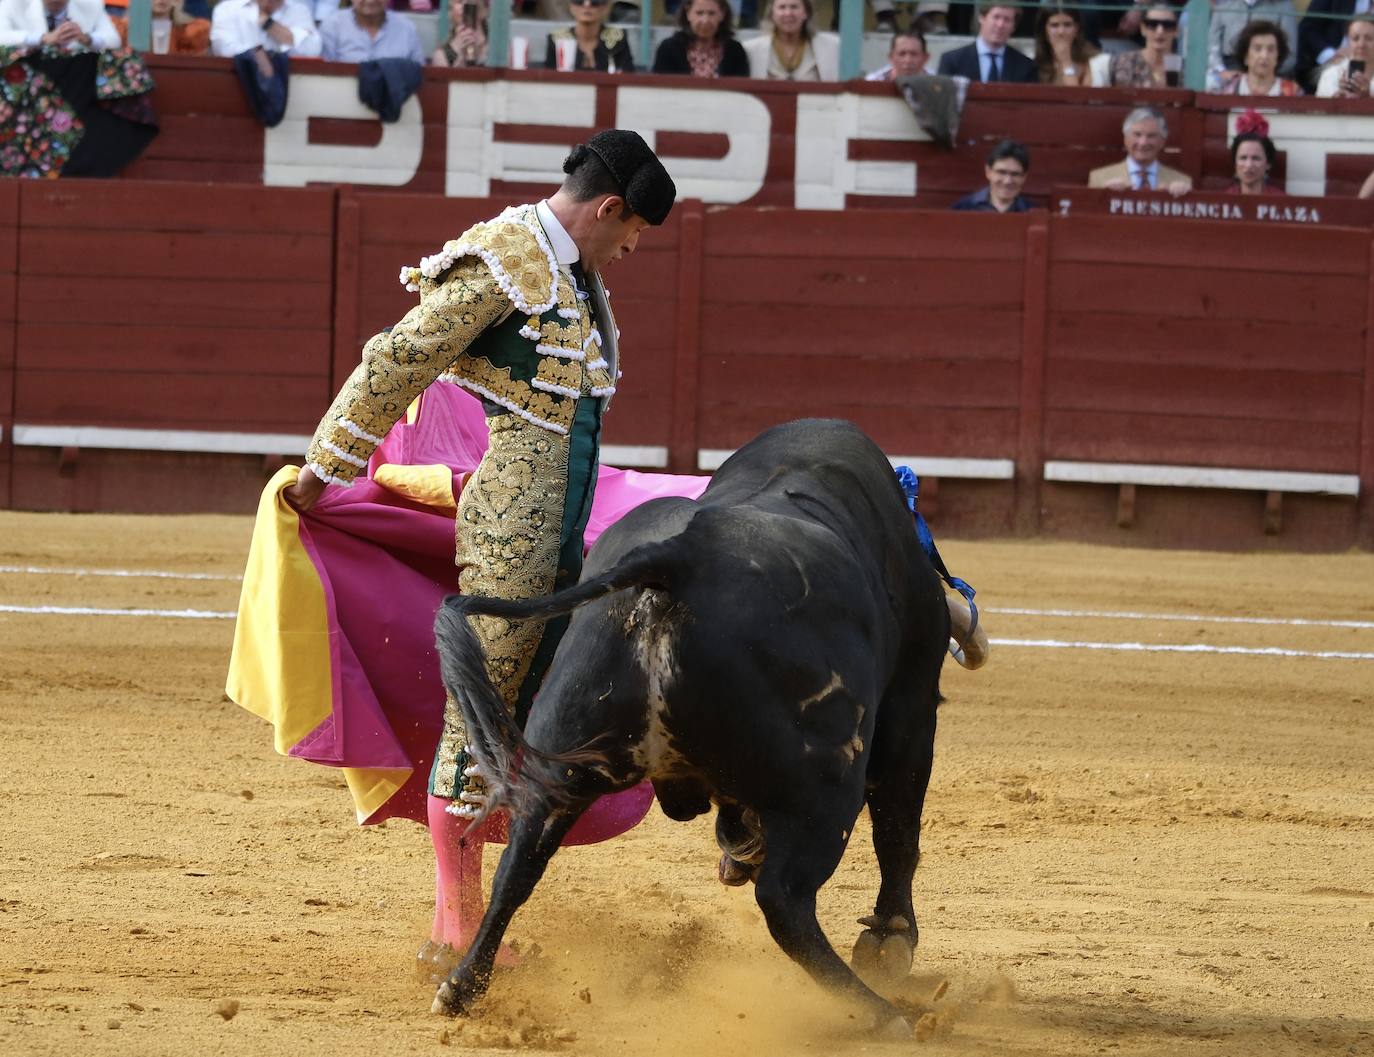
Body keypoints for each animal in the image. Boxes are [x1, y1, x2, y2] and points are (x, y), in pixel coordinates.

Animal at [434, 417, 950, 1033]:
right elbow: (899, 827)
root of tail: (675, 559)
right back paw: (882, 1012)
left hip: (564, 756)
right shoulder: (912, 705)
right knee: (787, 900)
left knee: (518, 863)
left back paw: (461, 985)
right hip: (828, 786)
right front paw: (891, 942)